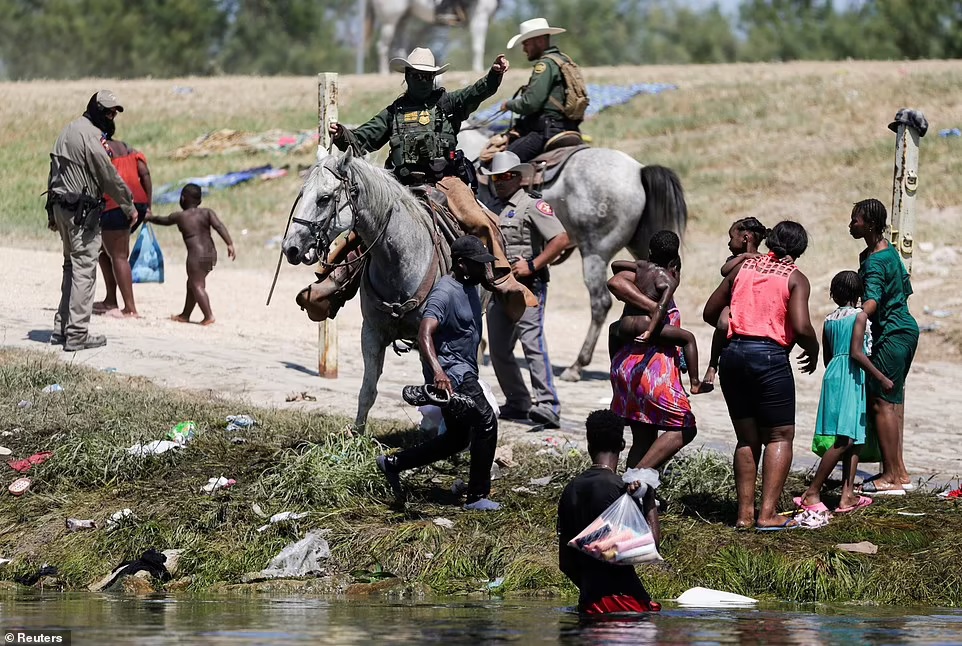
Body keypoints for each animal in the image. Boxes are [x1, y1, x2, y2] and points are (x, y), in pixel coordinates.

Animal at [282, 150, 446, 432]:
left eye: (324, 198)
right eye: (302, 194)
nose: (290, 248)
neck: (400, 258)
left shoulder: (429, 334)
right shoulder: (371, 332)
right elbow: (367, 390)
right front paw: (356, 435)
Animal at [364, 0, 498, 74]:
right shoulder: (480, 17)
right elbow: (478, 47)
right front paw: (478, 69)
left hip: (403, 20)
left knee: (399, 47)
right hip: (389, 22)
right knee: (382, 46)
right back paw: (384, 73)